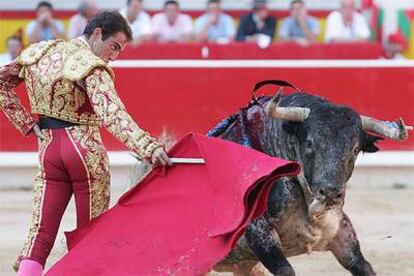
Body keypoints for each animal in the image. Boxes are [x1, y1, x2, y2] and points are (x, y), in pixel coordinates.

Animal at [209, 80, 410, 276]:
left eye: (354, 150)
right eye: (309, 143)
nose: (330, 194)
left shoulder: (340, 231)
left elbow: (364, 267)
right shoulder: (258, 231)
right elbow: (285, 270)